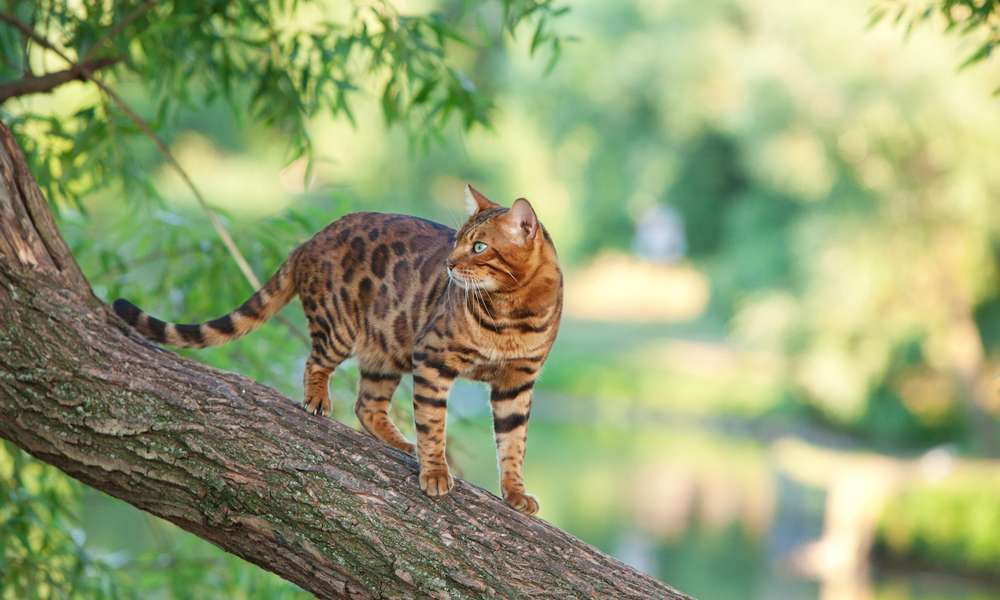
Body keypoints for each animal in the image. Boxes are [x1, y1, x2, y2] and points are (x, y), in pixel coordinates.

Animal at [115, 185, 564, 512]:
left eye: (479, 247)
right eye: (456, 241)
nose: (450, 265)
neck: (512, 313)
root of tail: (309, 240)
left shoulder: (517, 383)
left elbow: (513, 443)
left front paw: (514, 492)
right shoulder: (434, 357)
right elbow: (434, 423)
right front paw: (435, 471)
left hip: (388, 346)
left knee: (367, 405)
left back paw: (399, 442)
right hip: (342, 327)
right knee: (316, 363)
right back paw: (318, 400)